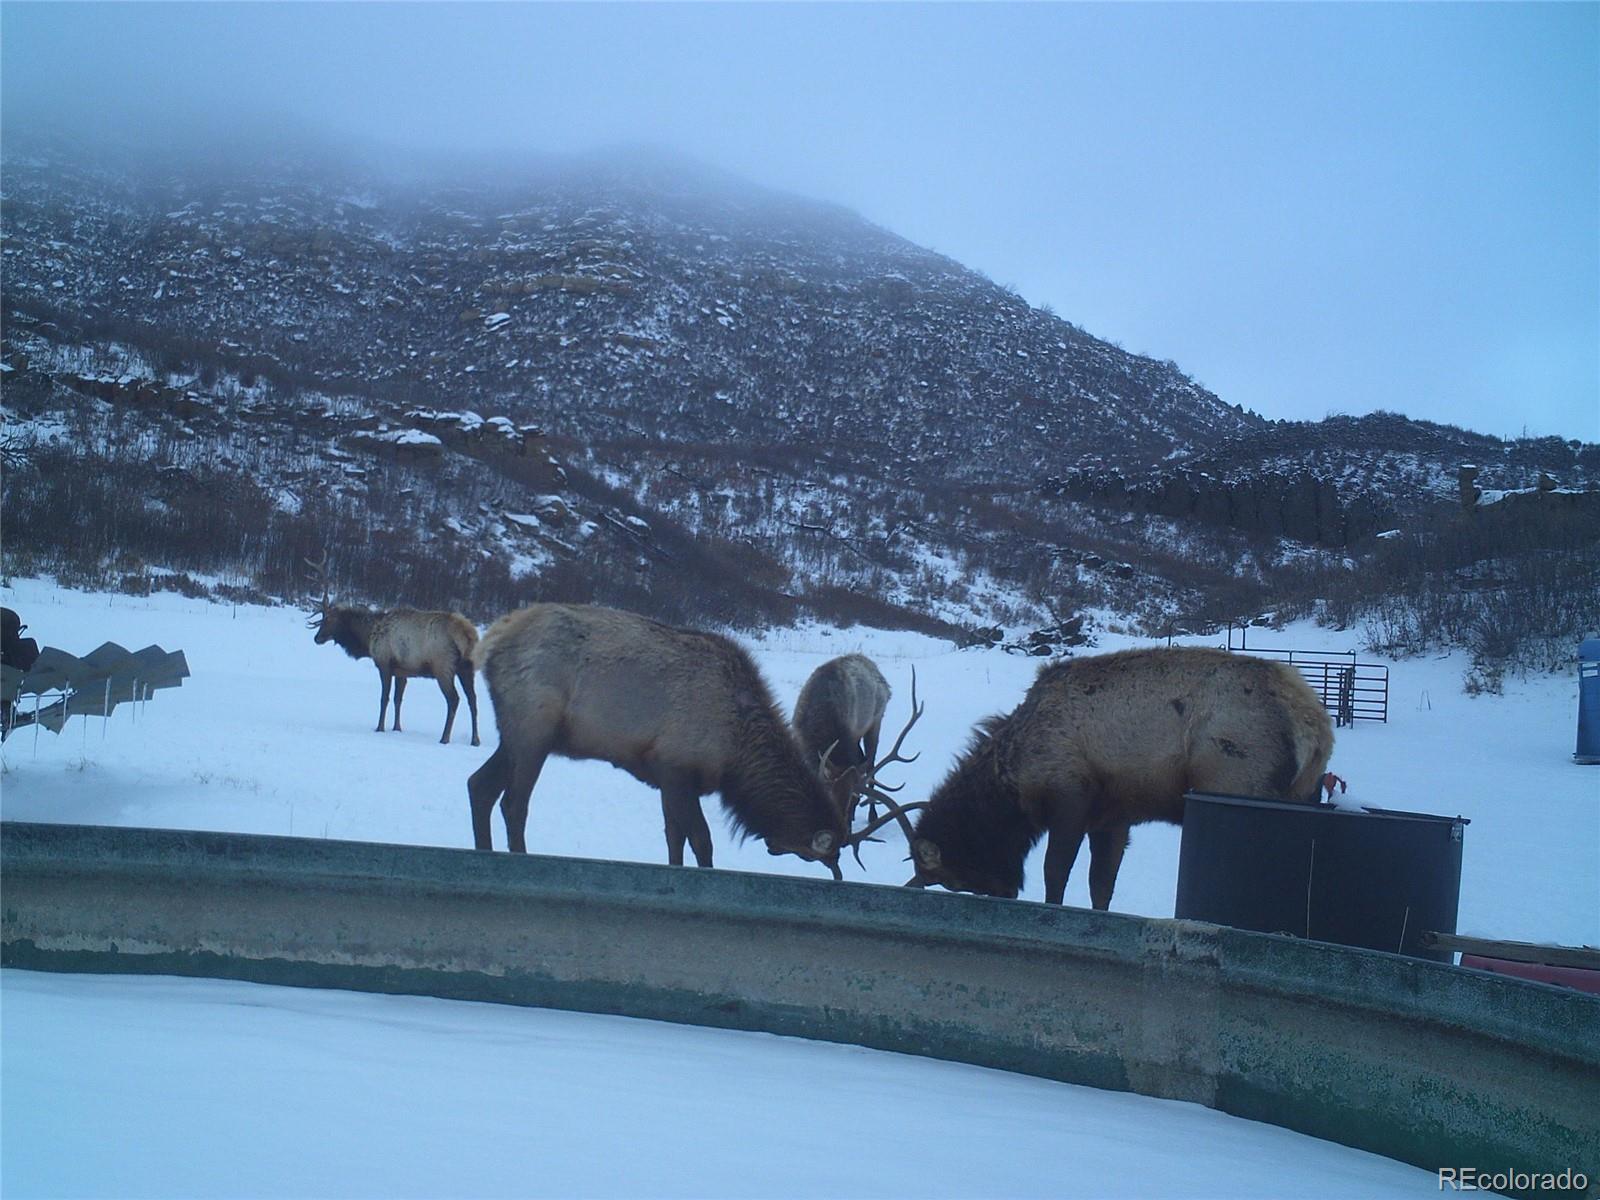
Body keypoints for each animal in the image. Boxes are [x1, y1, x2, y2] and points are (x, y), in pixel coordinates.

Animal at [305, 560, 480, 748]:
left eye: (329, 619)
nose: (317, 638)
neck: (368, 637)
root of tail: (467, 633)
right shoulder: (402, 671)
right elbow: (398, 699)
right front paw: (397, 728)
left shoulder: (384, 663)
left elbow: (384, 698)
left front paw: (379, 728)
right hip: (466, 668)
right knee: (473, 699)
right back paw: (475, 740)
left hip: (443, 667)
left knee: (454, 699)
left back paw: (444, 738)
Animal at [908, 649, 1331, 908]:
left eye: (952, 878)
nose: (1005, 891)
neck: (1015, 781)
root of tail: (1315, 726)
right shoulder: (1113, 817)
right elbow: (1102, 884)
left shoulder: (1071, 795)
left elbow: (1055, 872)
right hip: (1300, 793)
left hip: (1235, 780)